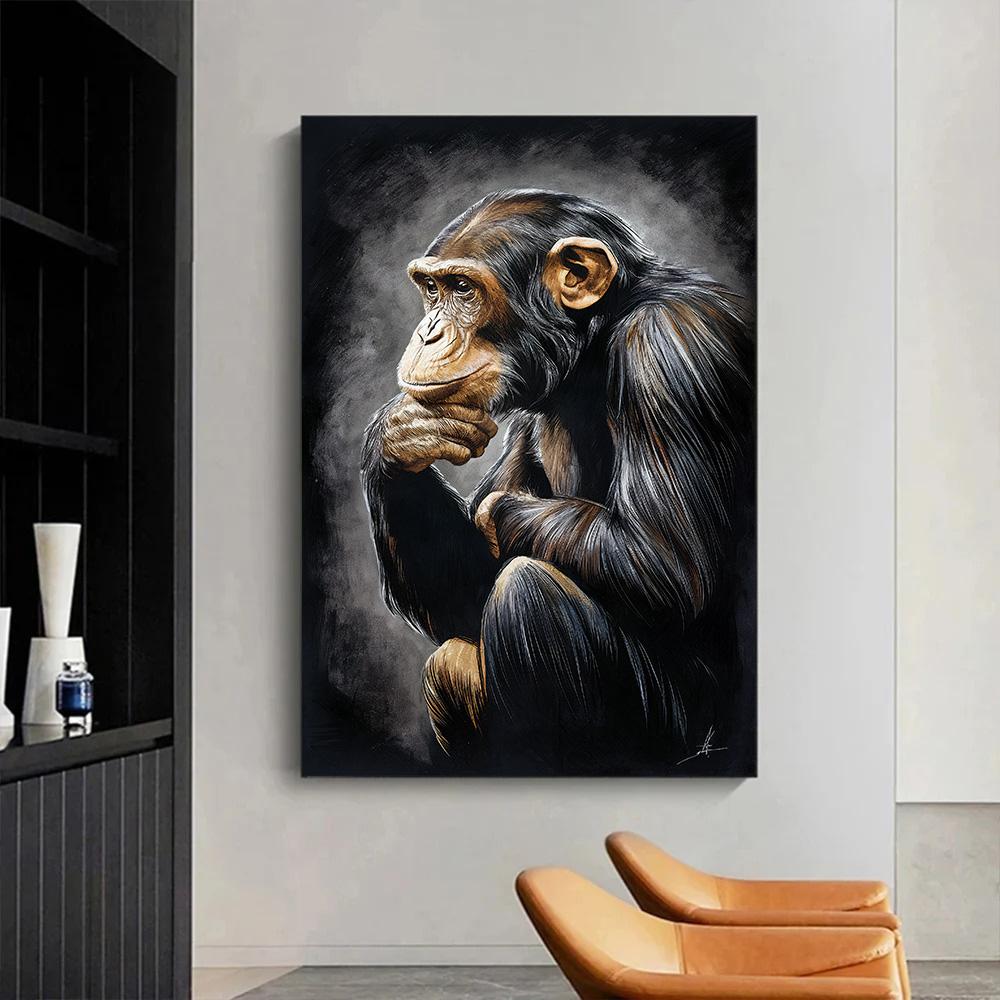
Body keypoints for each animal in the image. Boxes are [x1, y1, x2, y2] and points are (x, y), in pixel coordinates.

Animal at [361, 189, 754, 774]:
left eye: (463, 289)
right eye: (431, 290)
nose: (428, 331)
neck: (597, 335)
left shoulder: (671, 348)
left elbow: (666, 564)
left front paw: (497, 513)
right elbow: (466, 597)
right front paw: (401, 434)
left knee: (531, 594)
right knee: (454, 663)